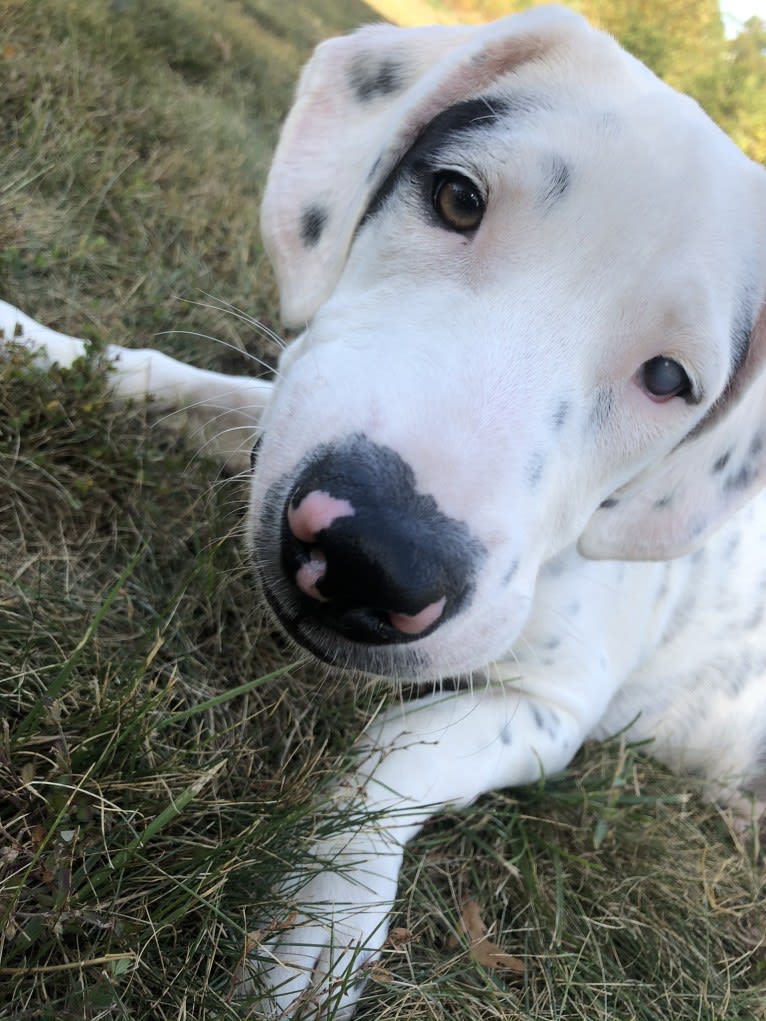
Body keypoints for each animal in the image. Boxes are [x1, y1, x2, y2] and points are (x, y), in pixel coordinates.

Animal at [4, 3, 766, 1016]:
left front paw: (321, 926)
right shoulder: (284, 415)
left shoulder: (554, 706)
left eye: (670, 380)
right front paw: (31, 342)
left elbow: (399, 742)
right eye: (456, 198)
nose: (378, 558)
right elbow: (163, 376)